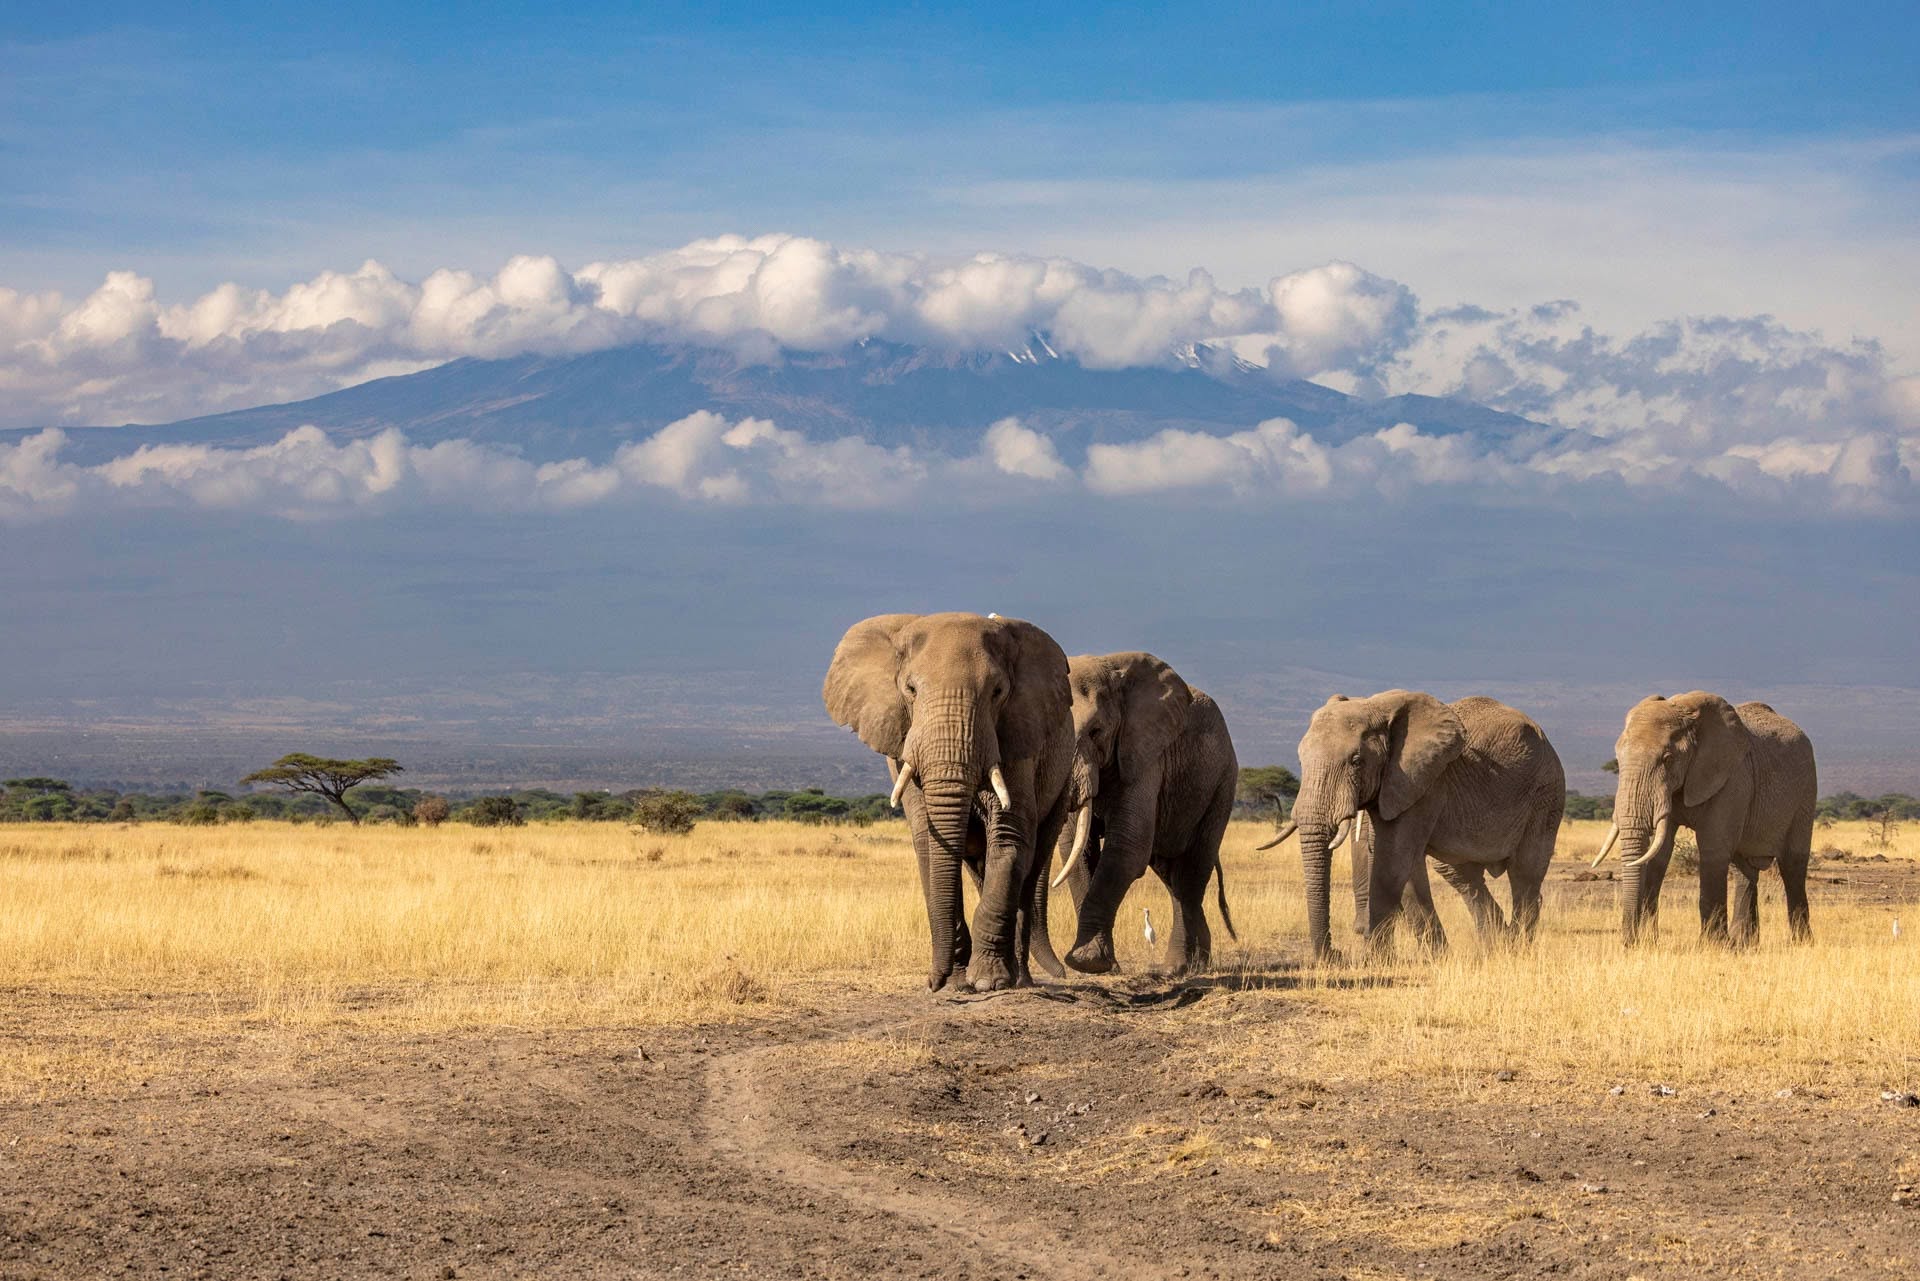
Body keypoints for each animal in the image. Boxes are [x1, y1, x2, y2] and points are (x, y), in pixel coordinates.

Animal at [823, 612, 1075, 992]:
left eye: (998, 692)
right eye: (910, 690)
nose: (934, 982)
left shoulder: (1017, 734)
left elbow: (1009, 837)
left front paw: (987, 982)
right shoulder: (903, 743)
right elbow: (929, 844)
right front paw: (957, 983)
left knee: (1032, 865)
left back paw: (1019, 980)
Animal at [1046, 652, 1239, 975]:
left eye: (1096, 731)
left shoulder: (1145, 752)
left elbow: (1127, 847)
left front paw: (1088, 963)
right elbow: (1078, 849)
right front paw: (1098, 964)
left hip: (1222, 782)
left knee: (1192, 870)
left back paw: (1180, 968)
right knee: (1172, 876)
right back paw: (1192, 963)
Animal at [1263, 691, 1565, 959]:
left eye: (1357, 761)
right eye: (1300, 760)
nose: (1334, 954)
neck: (1376, 706)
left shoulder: (1423, 782)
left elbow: (1394, 860)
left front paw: (1377, 960)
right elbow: (1391, 861)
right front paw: (1437, 958)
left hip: (1546, 793)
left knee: (1525, 873)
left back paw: (1516, 949)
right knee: (1461, 874)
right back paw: (1495, 946)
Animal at [1589, 693, 1814, 946]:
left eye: (1668, 759)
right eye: (1618, 760)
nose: (1629, 942)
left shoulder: (1732, 778)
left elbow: (1712, 846)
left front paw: (1712, 946)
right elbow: (1662, 851)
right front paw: (1650, 942)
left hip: (1805, 792)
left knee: (1792, 866)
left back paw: (1800, 943)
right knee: (1743, 867)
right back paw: (1744, 944)